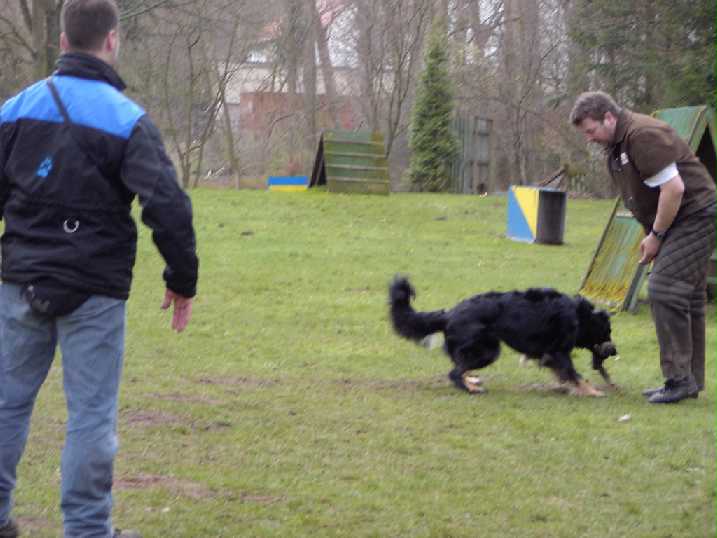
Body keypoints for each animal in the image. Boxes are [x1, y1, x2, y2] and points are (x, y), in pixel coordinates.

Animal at [388, 276, 618, 396]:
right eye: (608, 331)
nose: (615, 351)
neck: (579, 315)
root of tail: (449, 314)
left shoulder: (549, 355)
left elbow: (563, 373)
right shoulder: (559, 351)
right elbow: (575, 374)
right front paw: (593, 392)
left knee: (459, 369)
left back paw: (472, 381)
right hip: (487, 350)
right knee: (454, 373)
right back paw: (470, 389)